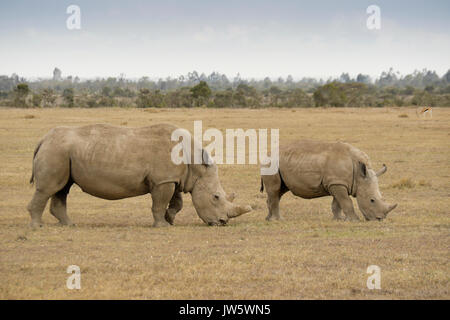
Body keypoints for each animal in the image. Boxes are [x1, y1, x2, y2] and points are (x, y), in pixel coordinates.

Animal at [27, 124, 253, 229]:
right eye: (216, 197)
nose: (223, 222)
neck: (196, 164)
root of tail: (43, 139)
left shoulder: (172, 178)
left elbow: (177, 202)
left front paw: (170, 220)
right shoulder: (163, 180)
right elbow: (159, 203)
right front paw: (162, 226)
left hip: (63, 152)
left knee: (62, 188)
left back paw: (69, 225)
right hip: (56, 150)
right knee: (49, 189)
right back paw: (38, 226)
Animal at [260, 141, 398, 221]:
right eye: (372, 200)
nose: (380, 219)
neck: (360, 176)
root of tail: (267, 155)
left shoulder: (337, 182)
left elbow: (338, 203)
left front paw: (339, 219)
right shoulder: (337, 183)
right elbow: (346, 202)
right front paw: (354, 220)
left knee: (279, 191)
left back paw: (268, 219)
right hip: (271, 164)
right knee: (275, 190)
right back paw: (278, 220)